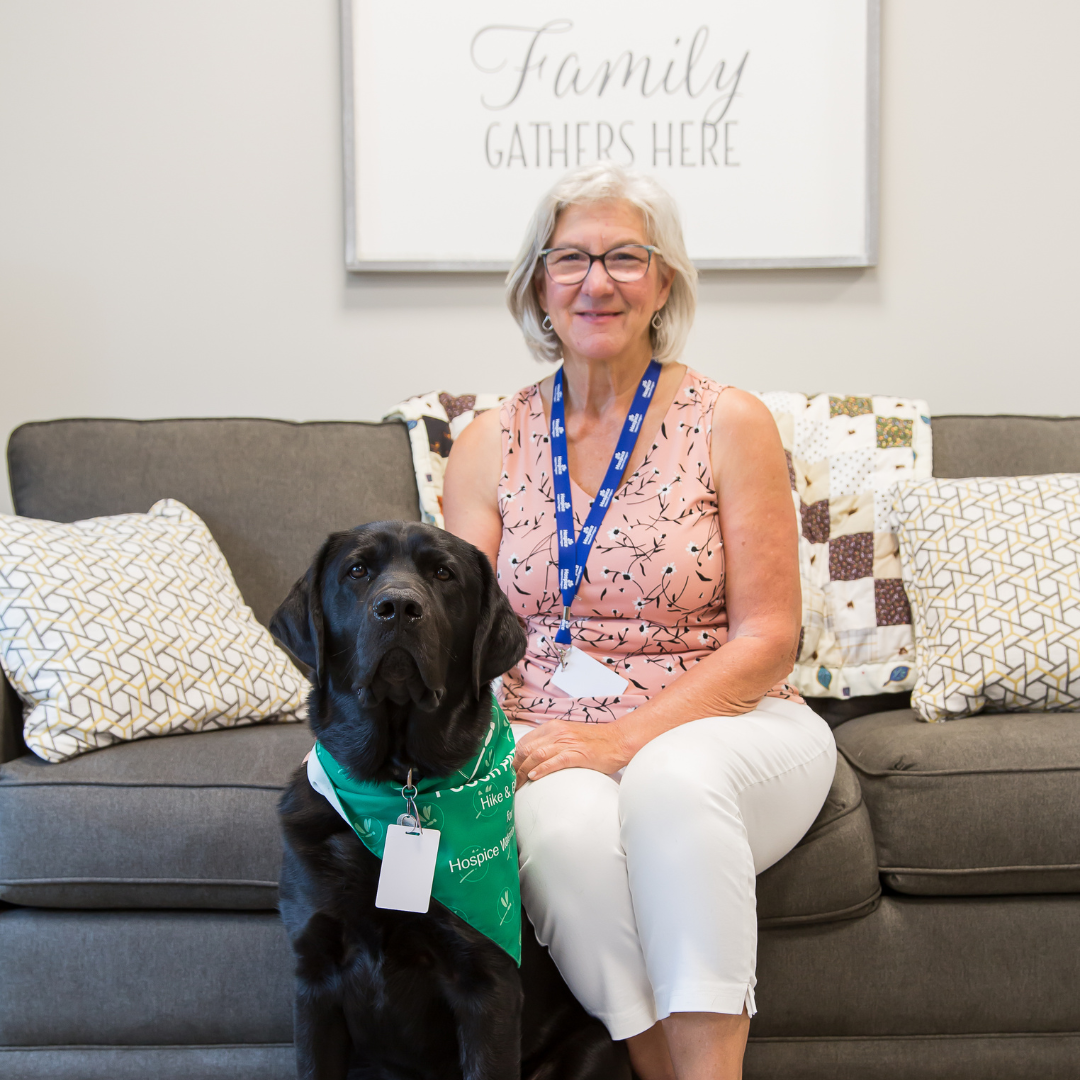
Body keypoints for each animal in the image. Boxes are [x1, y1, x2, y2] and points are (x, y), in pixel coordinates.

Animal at [267, 522, 630, 1080]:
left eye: (443, 573)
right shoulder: (313, 976)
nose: (397, 607)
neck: (399, 782)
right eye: (357, 570)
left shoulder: (487, 982)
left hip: (593, 1048)